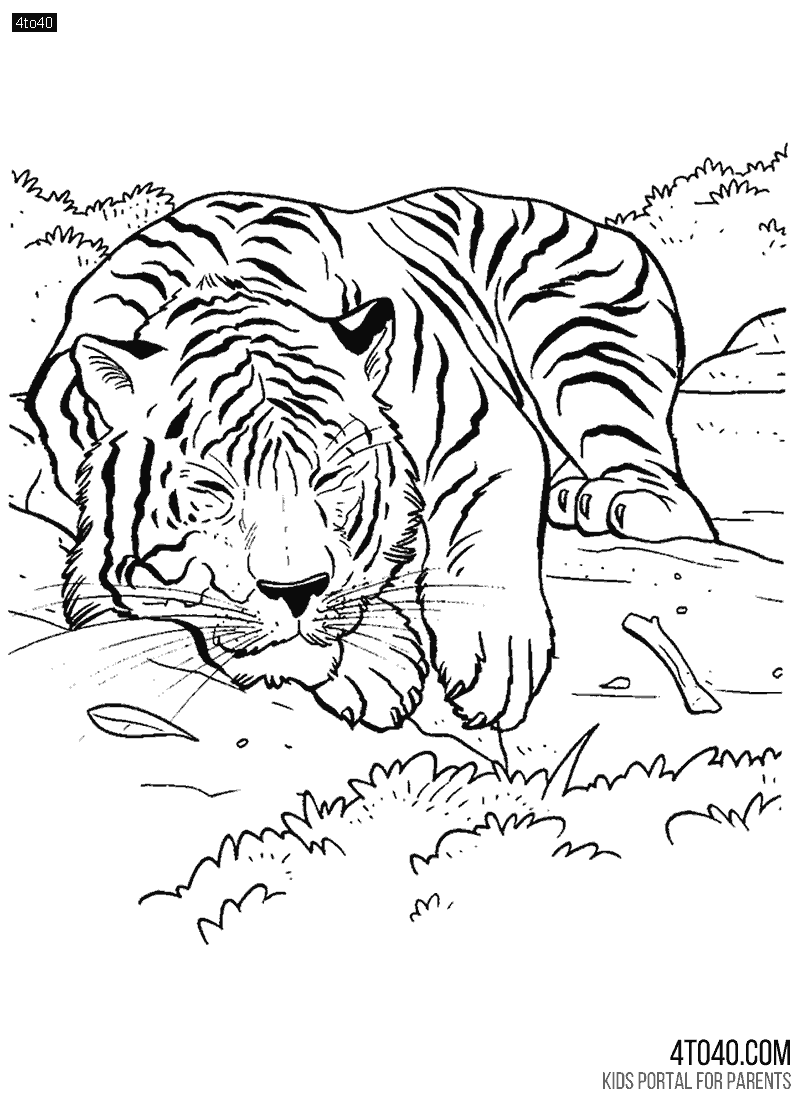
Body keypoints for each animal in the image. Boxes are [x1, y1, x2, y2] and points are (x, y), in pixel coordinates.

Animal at [27, 187, 717, 736]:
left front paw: (491, 660)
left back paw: (617, 503)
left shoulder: (485, 429)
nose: (294, 593)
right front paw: (374, 666)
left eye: (333, 479)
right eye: (213, 492)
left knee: (664, 487)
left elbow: (480, 538)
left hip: (584, 342)